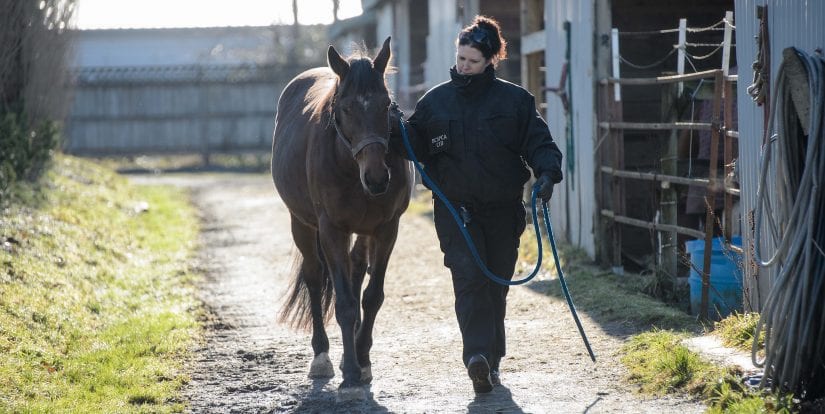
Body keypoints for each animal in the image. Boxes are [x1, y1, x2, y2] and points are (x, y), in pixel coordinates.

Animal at [270, 37, 412, 400]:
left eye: (386, 104)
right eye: (346, 108)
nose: (377, 177)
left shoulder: (386, 230)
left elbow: (371, 296)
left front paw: (362, 361)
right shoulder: (331, 230)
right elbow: (345, 302)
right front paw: (349, 374)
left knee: (355, 271)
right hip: (302, 226)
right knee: (315, 278)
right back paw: (321, 357)